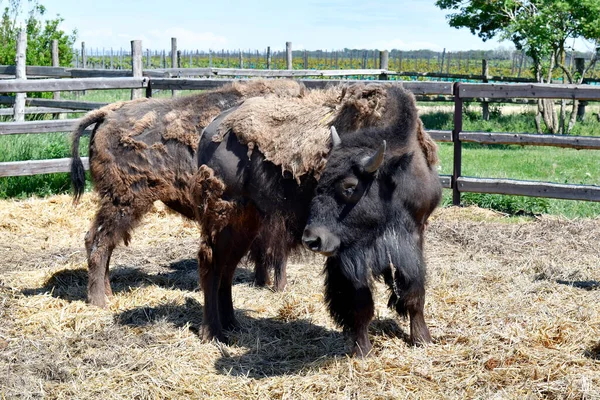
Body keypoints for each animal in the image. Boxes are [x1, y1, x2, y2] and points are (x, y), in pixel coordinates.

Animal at [70, 79, 304, 308]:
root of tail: (107, 114)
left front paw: (263, 282)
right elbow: (277, 252)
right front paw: (280, 287)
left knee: (102, 243)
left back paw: (108, 295)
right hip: (124, 203)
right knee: (98, 242)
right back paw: (99, 302)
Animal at [190, 82, 442, 356]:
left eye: (350, 187)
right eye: (318, 182)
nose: (312, 239)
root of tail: (210, 131)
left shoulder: (414, 235)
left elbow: (414, 291)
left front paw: (423, 339)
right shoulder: (346, 253)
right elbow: (360, 301)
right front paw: (362, 350)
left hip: (246, 224)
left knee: (227, 269)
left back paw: (232, 324)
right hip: (223, 219)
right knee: (211, 266)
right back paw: (212, 332)